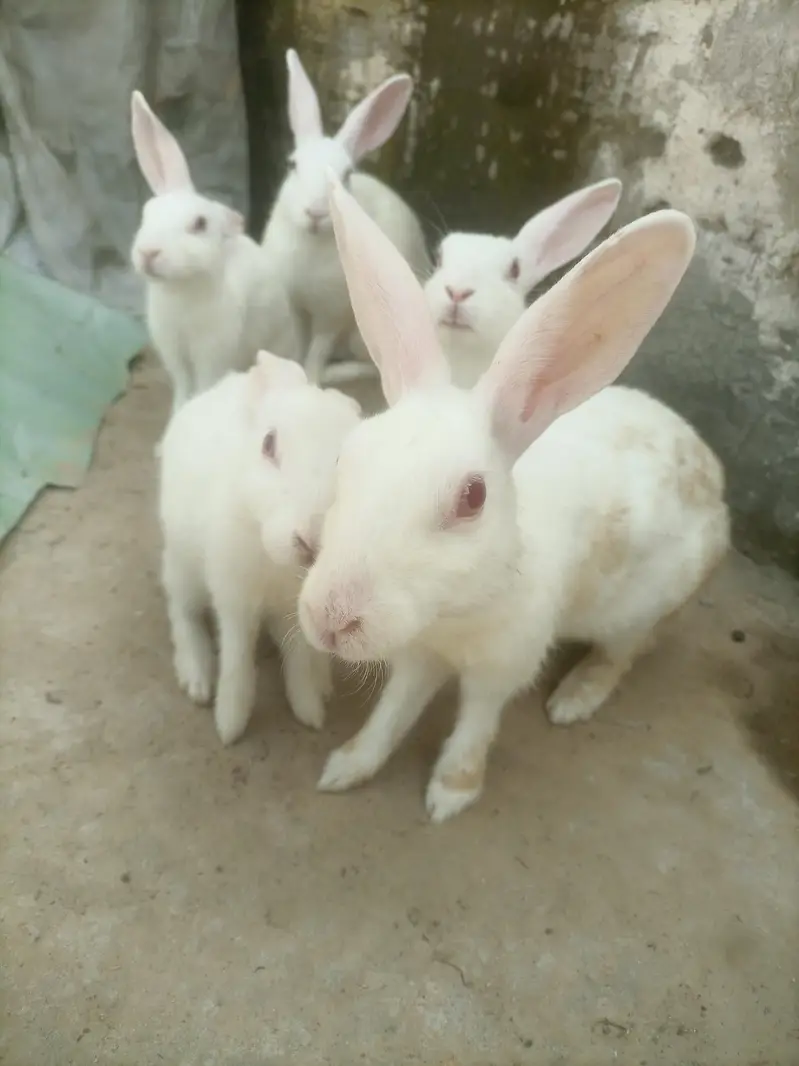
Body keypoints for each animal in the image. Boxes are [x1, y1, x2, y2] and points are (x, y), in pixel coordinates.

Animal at [130, 91, 301, 419]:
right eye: (146, 212)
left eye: (199, 224)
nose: (148, 252)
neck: (181, 291)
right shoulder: (174, 352)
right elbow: (183, 389)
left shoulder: (212, 351)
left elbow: (202, 388)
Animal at [159, 350, 361, 746]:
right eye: (268, 444)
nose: (309, 541)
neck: (278, 564)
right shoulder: (233, 598)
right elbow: (237, 658)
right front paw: (230, 725)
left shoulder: (297, 611)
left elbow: (298, 659)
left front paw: (308, 710)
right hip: (184, 567)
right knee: (181, 610)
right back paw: (197, 678)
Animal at [261, 49, 430, 387]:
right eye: (292, 165)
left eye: (346, 175)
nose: (315, 212)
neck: (312, 245)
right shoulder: (296, 307)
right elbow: (300, 344)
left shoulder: (333, 316)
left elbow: (317, 351)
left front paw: (310, 379)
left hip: (362, 335)